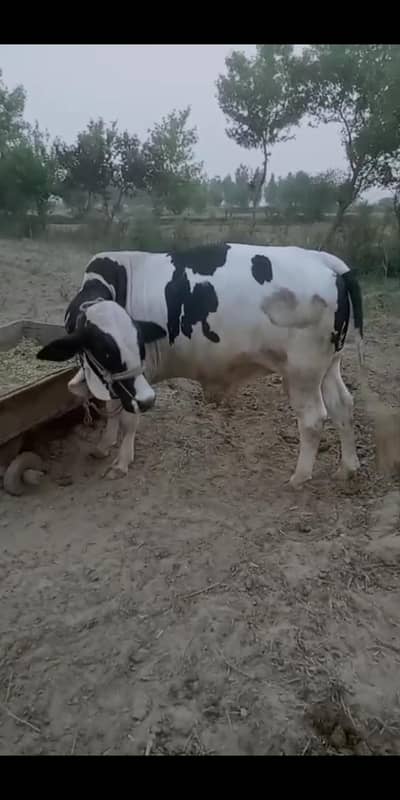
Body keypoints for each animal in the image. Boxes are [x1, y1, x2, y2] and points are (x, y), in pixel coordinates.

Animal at [36, 243, 364, 488]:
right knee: (342, 405)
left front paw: (121, 462)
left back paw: (299, 476)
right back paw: (347, 467)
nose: (149, 400)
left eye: (138, 341)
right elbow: (112, 408)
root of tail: (324, 260)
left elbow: (128, 418)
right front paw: (104, 446)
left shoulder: (138, 378)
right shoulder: (117, 379)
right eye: (104, 350)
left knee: (313, 419)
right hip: (328, 365)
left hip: (302, 373)